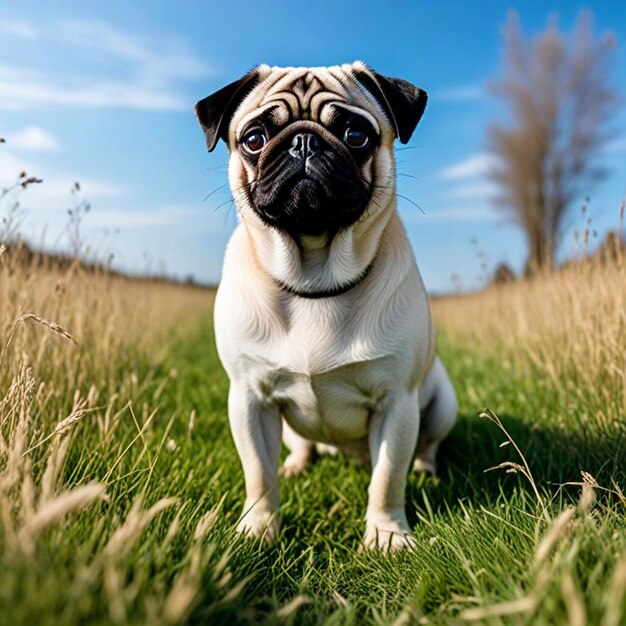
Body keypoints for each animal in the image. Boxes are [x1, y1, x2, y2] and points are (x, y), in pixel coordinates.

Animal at [197, 61, 456, 548]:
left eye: (356, 135)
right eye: (254, 139)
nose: (304, 141)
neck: (314, 279)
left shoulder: (397, 403)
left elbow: (387, 477)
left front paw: (386, 534)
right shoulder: (248, 398)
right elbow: (258, 474)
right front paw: (258, 528)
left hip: (441, 402)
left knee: (424, 446)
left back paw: (426, 469)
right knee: (299, 446)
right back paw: (296, 466)